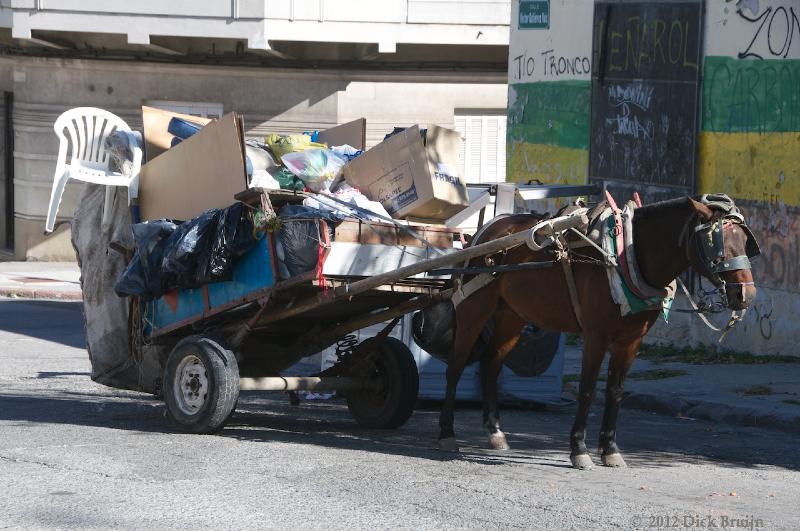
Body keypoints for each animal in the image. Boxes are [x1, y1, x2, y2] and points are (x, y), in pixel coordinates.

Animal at [438, 196, 756, 470]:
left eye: (745, 242)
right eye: (717, 245)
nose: (746, 294)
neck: (625, 256)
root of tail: (487, 231)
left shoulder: (631, 341)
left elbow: (614, 391)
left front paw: (610, 450)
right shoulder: (595, 336)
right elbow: (588, 390)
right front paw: (579, 450)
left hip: (512, 316)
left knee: (490, 363)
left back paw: (495, 433)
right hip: (474, 307)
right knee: (455, 366)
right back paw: (446, 433)